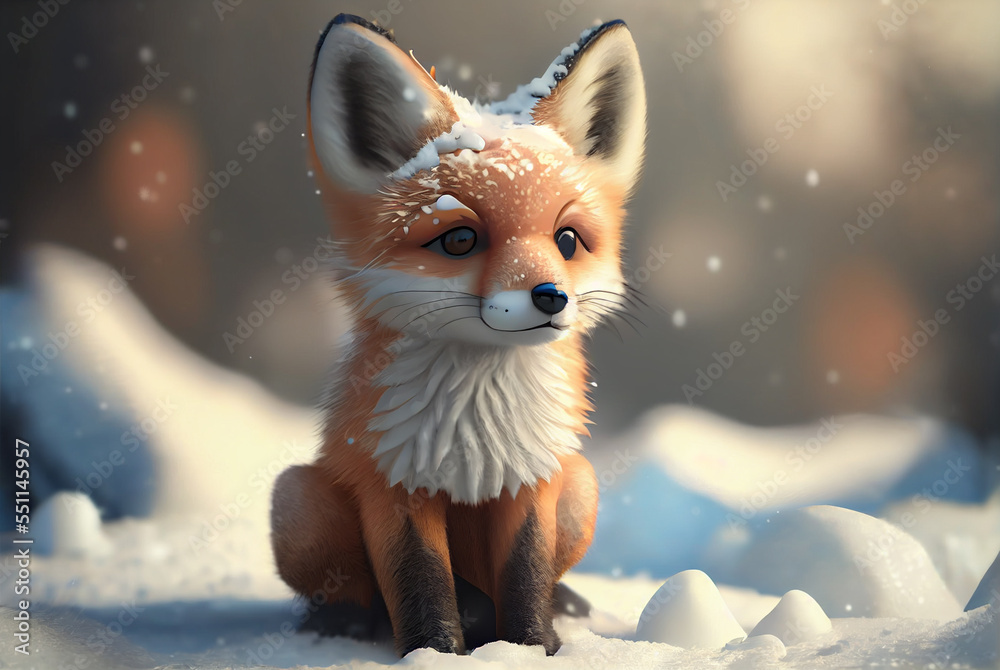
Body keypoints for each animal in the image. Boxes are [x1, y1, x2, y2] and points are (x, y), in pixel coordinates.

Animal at [270, 13, 646, 657]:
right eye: (460, 240)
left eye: (567, 240)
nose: (551, 296)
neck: (479, 426)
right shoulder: (393, 484)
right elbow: (419, 583)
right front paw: (433, 655)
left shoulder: (530, 480)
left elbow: (526, 576)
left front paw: (531, 651)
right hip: (297, 501)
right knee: (355, 595)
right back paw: (343, 628)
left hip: (582, 485)